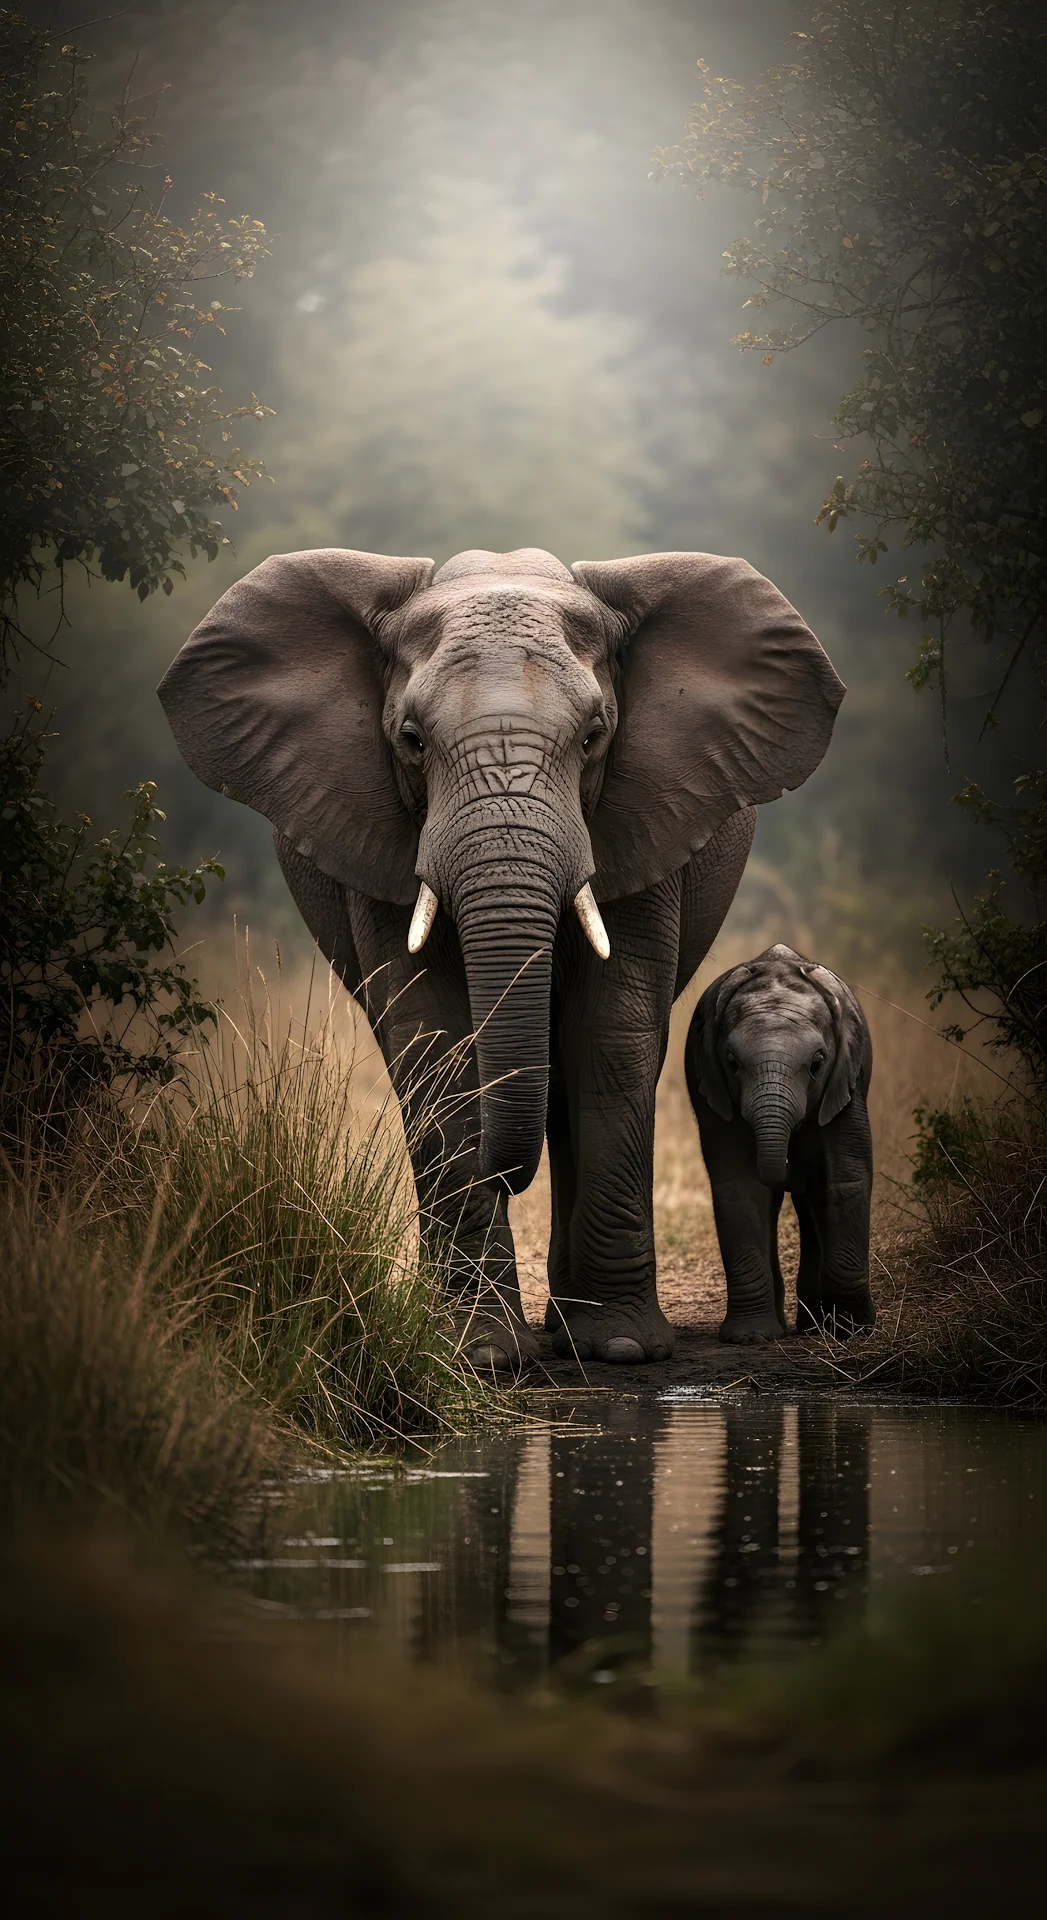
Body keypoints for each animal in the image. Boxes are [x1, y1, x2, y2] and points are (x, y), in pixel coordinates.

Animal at [159, 548, 844, 1371]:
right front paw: (479, 1355)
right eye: (412, 740)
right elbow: (435, 1044)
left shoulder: (644, 820)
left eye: (594, 736)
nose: (510, 1173)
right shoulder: (381, 841)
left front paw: (619, 1348)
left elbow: (608, 1039)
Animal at [685, 943, 875, 1343]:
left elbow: (845, 1180)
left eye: (817, 1064)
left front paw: (855, 1330)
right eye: (732, 1062)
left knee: (813, 1200)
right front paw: (751, 1337)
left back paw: (815, 1326)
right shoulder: (713, 1086)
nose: (789, 1167)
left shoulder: (846, 1083)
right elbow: (740, 1186)